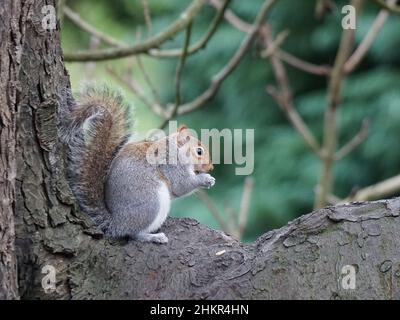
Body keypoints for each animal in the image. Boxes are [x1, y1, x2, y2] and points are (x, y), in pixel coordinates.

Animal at [60, 86, 214, 244]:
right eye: (199, 151)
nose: (211, 167)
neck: (175, 150)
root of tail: (117, 222)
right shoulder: (171, 165)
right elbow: (182, 185)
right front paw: (206, 179)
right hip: (152, 203)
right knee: (134, 234)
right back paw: (154, 237)